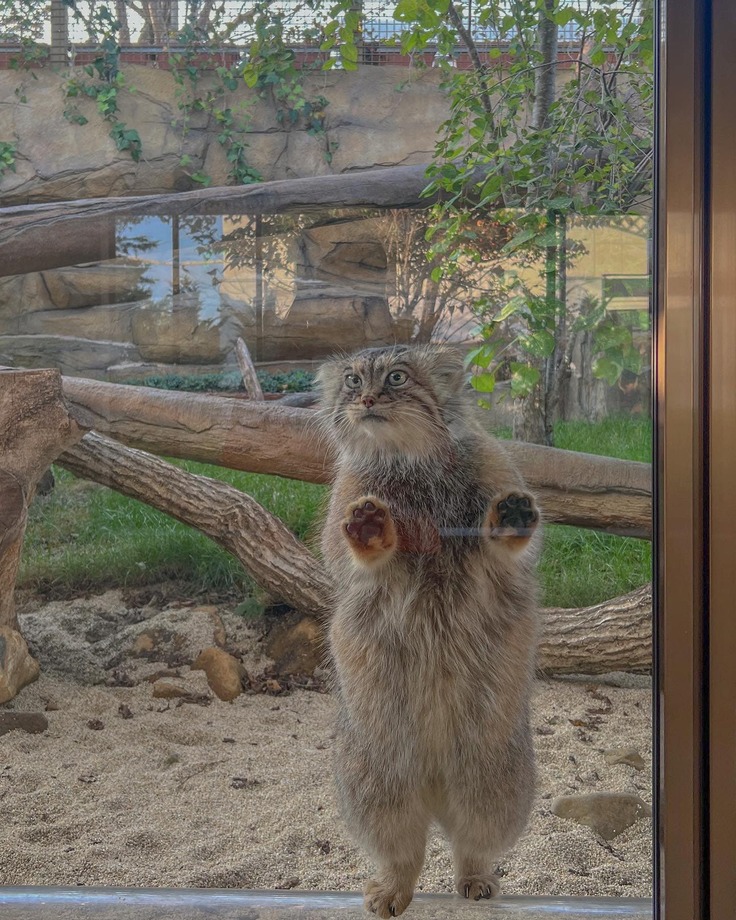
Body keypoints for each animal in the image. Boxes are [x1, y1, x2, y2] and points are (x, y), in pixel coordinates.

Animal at [316, 346, 540, 920]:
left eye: (397, 377)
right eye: (352, 381)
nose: (368, 399)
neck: (410, 460)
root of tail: (437, 785)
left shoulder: (492, 494)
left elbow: (506, 546)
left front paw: (509, 518)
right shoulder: (347, 512)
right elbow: (359, 553)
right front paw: (371, 528)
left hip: (494, 785)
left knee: (471, 844)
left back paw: (476, 879)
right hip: (376, 787)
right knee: (405, 851)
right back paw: (392, 889)